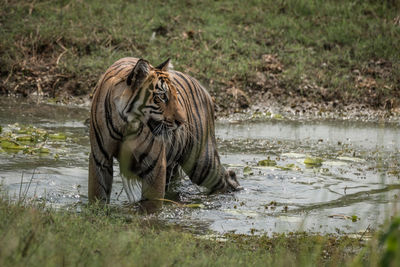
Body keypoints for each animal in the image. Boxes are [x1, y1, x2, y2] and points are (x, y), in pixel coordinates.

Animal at [89, 57, 242, 213]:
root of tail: (203, 88)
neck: (127, 125)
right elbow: (98, 192)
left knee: (227, 178)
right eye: (162, 96)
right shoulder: (100, 158)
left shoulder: (155, 164)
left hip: (202, 164)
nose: (182, 122)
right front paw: (97, 211)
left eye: (176, 95)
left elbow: (152, 203)